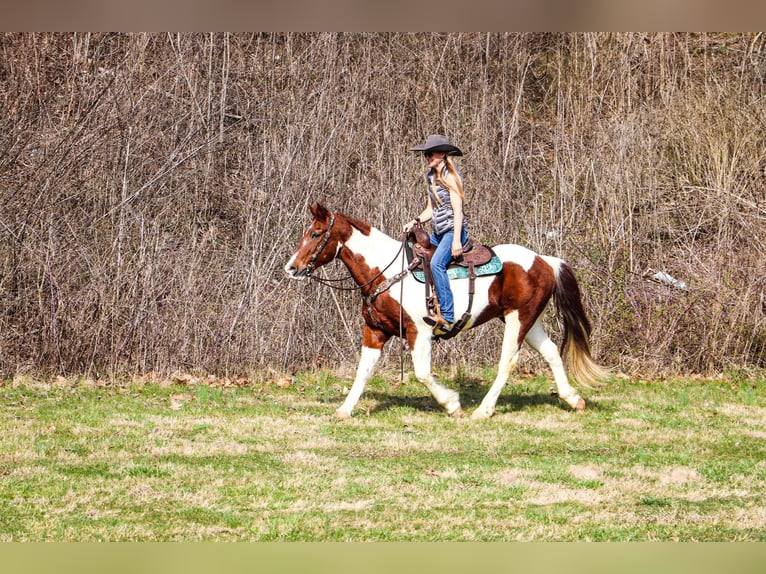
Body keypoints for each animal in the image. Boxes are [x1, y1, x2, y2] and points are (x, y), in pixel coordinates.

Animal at [284, 205, 608, 420]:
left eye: (315, 233)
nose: (291, 267)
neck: (386, 272)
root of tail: (544, 260)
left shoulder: (419, 331)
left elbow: (422, 373)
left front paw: (452, 403)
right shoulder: (374, 331)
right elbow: (363, 371)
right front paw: (345, 409)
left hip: (519, 319)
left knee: (508, 362)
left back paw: (484, 410)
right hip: (530, 320)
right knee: (552, 352)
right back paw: (573, 399)